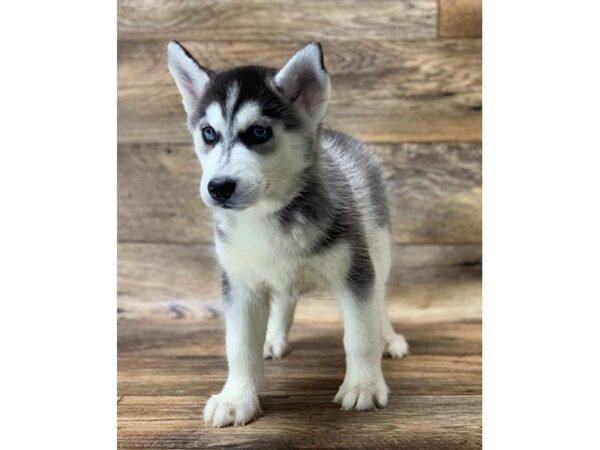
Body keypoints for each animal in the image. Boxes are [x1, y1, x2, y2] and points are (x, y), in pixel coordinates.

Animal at [166, 40, 410, 428]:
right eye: (208, 133)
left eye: (259, 132)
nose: (218, 187)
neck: (267, 213)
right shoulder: (240, 284)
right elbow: (239, 346)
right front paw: (237, 397)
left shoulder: (355, 274)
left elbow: (360, 334)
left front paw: (364, 386)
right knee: (285, 300)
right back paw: (273, 337)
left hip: (378, 249)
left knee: (380, 299)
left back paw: (388, 337)